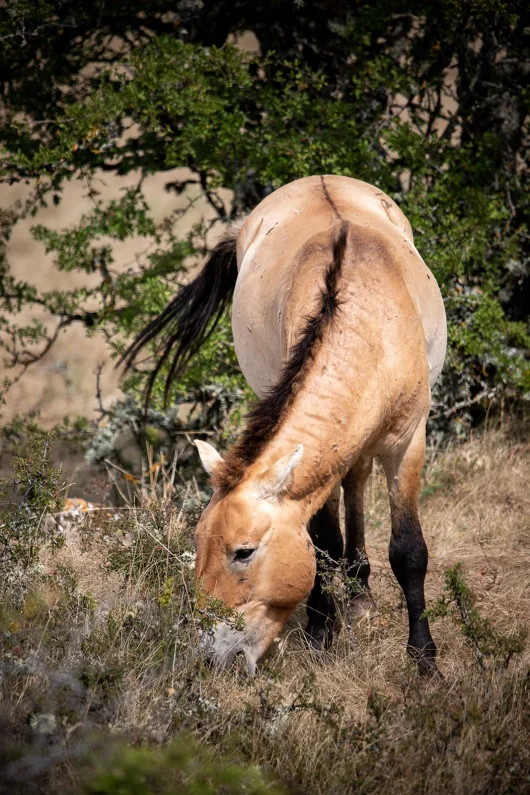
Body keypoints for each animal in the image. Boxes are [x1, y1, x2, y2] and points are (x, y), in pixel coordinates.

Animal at [123, 175, 447, 675]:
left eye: (243, 552)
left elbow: (409, 550)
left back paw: (360, 592)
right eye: (199, 543)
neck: (369, 323)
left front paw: (423, 657)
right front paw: (321, 631)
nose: (212, 655)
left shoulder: (409, 442)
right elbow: (322, 539)